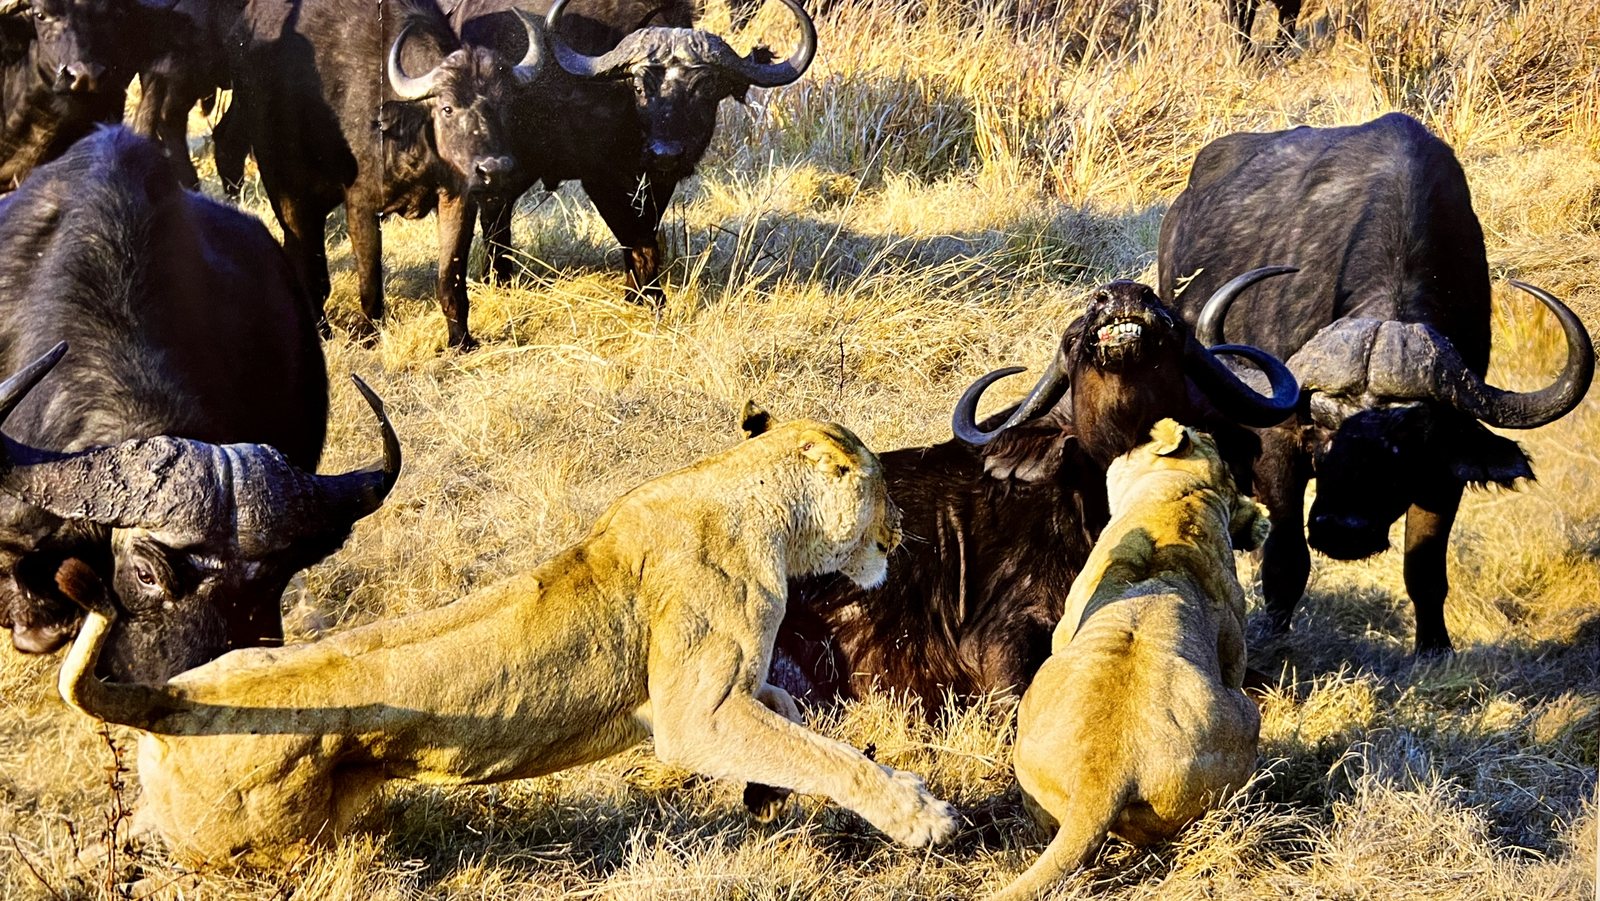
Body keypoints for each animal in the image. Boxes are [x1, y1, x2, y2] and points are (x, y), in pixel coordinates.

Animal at [57, 408, 958, 868]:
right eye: (885, 483)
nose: (905, 526)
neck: (755, 504)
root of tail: (171, 695)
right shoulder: (692, 715)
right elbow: (823, 754)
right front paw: (920, 814)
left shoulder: (716, 693)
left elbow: (792, 722)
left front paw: (779, 781)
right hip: (264, 845)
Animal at [223, 0, 539, 348]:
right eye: (447, 108)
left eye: (504, 105)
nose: (494, 169)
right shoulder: (361, 205)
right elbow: (370, 276)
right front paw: (367, 335)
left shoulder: (458, 198)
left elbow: (450, 275)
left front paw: (461, 339)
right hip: (284, 185)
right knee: (304, 251)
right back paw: (321, 328)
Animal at [457, 0, 815, 302]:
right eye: (640, 87)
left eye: (706, 89)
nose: (665, 153)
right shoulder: (599, 178)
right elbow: (632, 233)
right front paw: (647, 296)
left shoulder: (658, 180)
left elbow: (648, 231)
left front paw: (641, 290)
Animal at [1158, 113, 1595, 655]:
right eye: (1321, 428)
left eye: (1407, 442)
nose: (1344, 531)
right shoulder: (1279, 445)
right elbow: (1286, 559)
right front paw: (1272, 639)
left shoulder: (1444, 468)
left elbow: (1424, 568)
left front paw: (1434, 647)